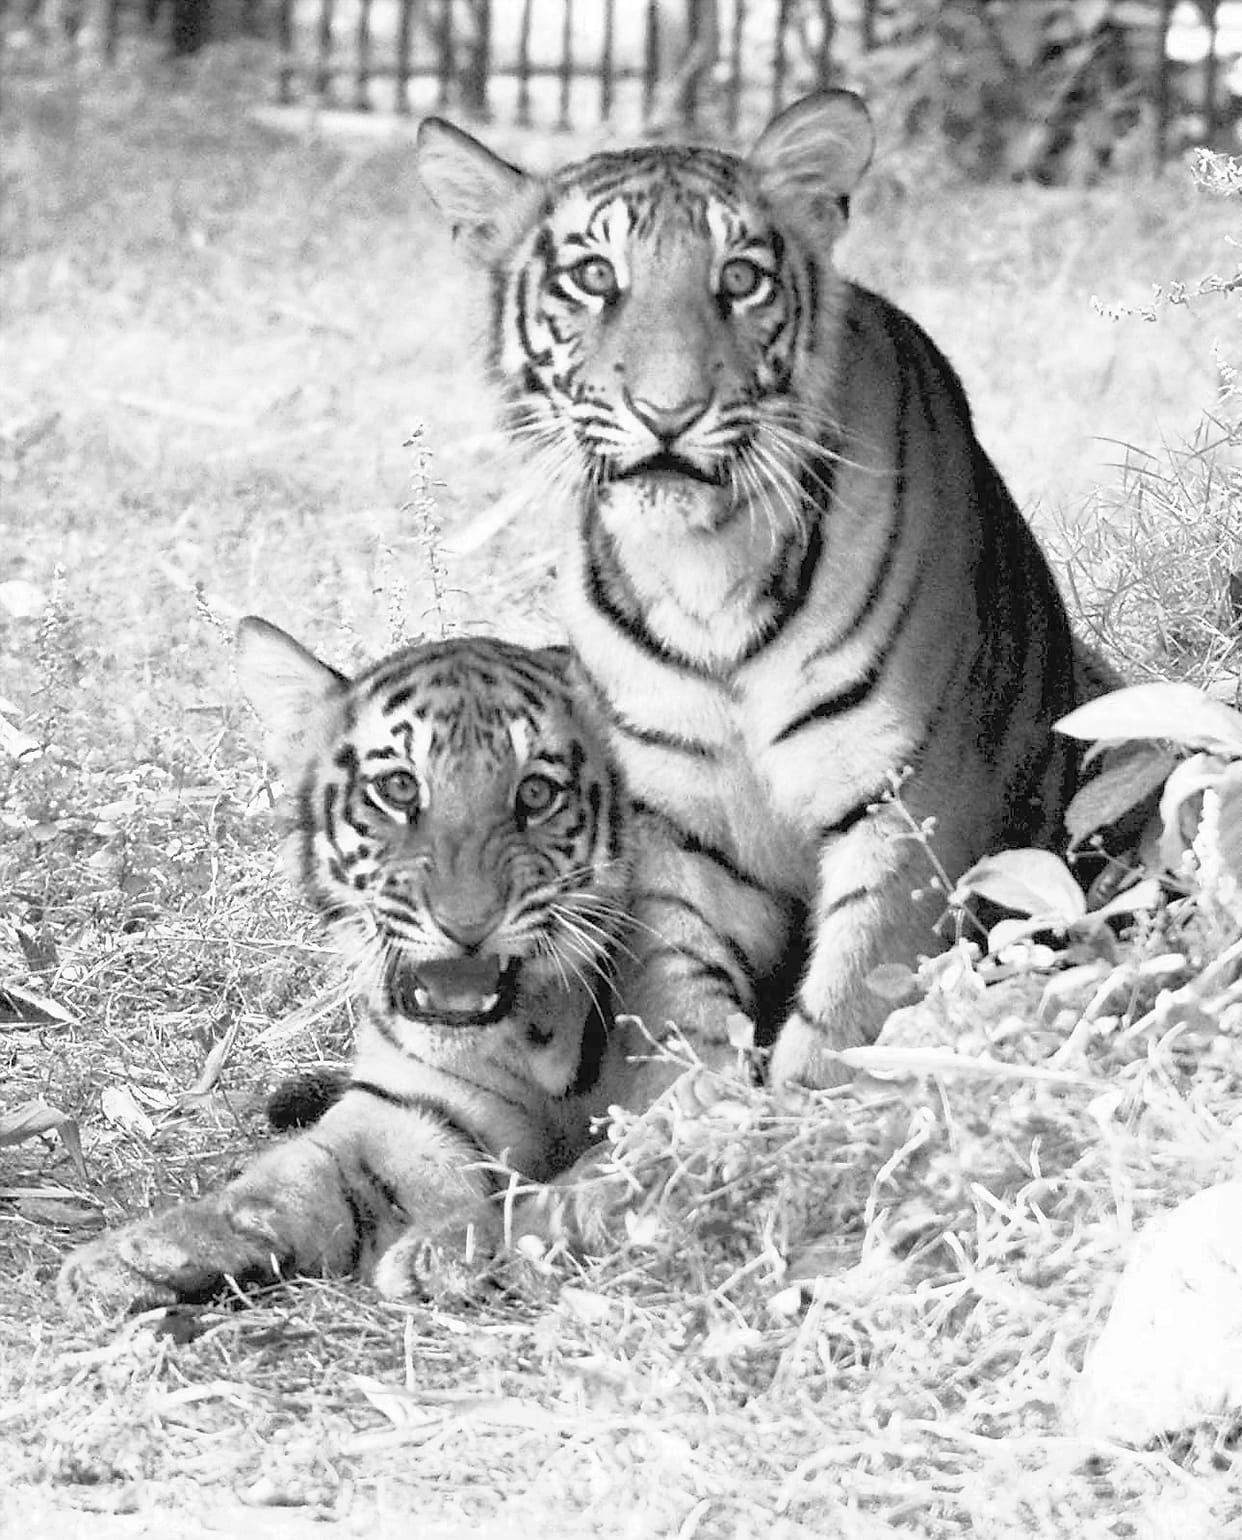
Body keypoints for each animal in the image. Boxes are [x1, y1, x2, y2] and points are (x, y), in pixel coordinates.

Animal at [58, 618, 644, 1315]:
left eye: (536, 792)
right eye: (398, 787)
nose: (466, 924)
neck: (525, 1034)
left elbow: (608, 1167)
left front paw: (454, 1250)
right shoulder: (416, 1109)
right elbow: (294, 1174)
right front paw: (132, 1256)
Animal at [415, 88, 1128, 1089]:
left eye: (742, 277)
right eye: (594, 276)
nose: (667, 414)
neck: (705, 572)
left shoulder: (913, 798)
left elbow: (857, 1000)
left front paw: (803, 1115)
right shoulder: (672, 826)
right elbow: (673, 998)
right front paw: (683, 1116)